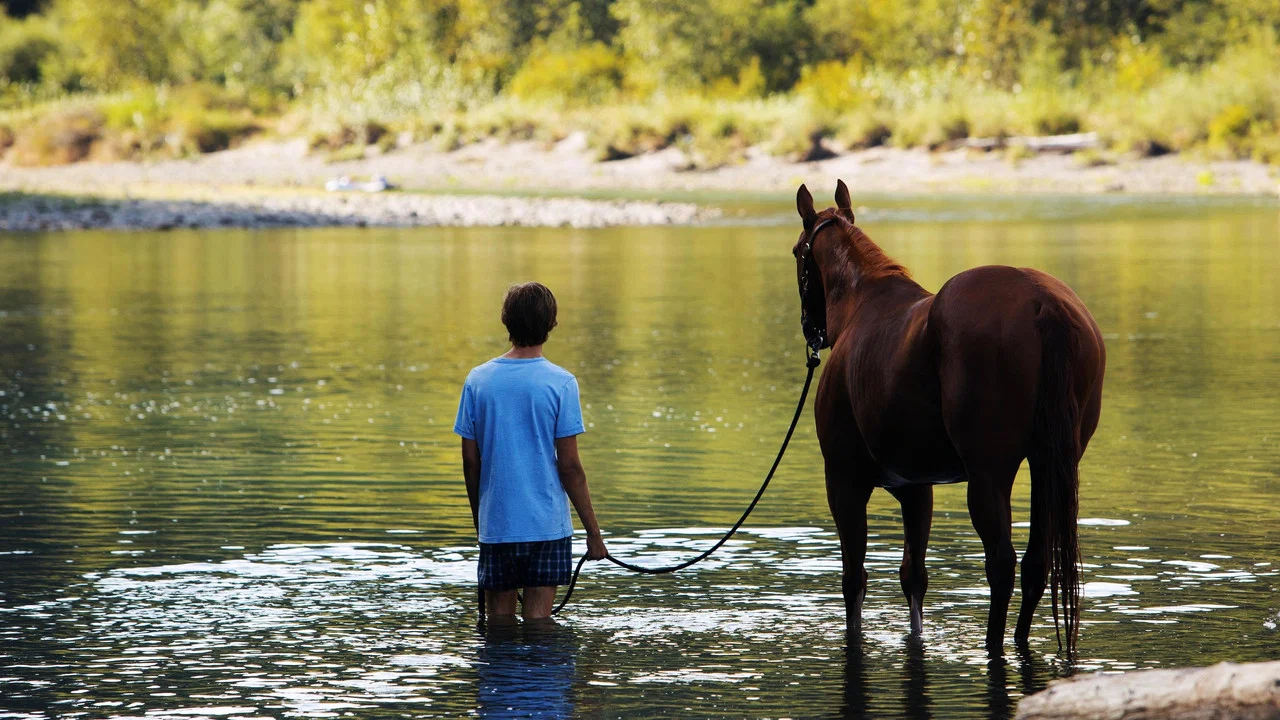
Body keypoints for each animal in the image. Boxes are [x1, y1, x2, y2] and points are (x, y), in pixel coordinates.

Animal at [793, 181, 1105, 658]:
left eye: (797, 253)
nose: (812, 329)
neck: (865, 303)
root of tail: (1043, 300)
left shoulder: (843, 482)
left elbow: (854, 580)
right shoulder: (916, 488)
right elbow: (913, 577)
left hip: (990, 474)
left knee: (1002, 564)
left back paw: (993, 644)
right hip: (1048, 465)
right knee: (1036, 563)